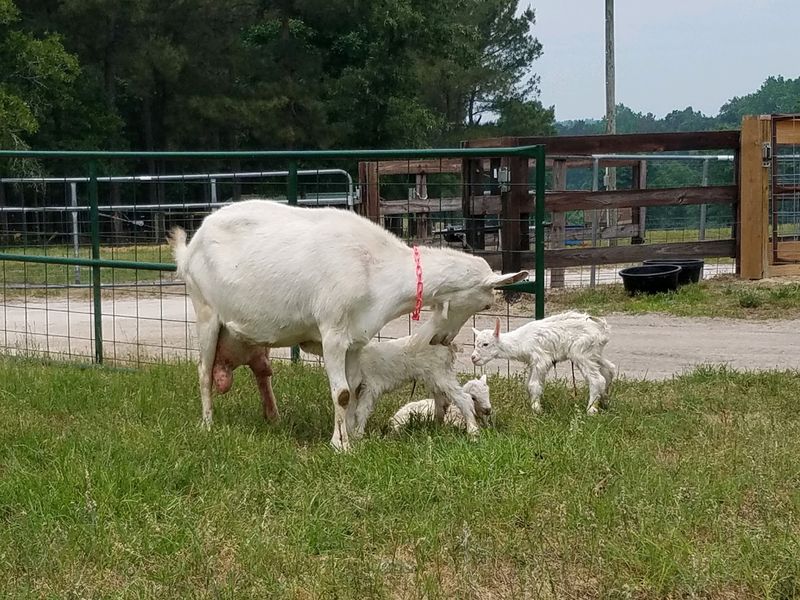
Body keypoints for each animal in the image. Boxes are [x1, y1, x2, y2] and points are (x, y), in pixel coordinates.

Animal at [168, 200, 526, 450]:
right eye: (487, 304)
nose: (443, 339)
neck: (378, 268)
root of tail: (189, 248)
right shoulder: (333, 334)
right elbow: (340, 393)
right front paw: (339, 445)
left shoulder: (356, 339)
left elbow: (353, 389)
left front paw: (353, 436)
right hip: (205, 311)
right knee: (203, 371)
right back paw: (208, 424)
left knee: (261, 373)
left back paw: (273, 418)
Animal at [470, 311, 615, 415]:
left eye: (485, 344)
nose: (473, 358)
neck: (521, 340)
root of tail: (602, 330)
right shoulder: (532, 362)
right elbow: (528, 384)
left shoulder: (541, 359)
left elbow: (533, 385)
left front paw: (536, 410)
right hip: (594, 352)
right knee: (610, 370)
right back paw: (604, 401)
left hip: (581, 352)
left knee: (597, 379)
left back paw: (591, 410)